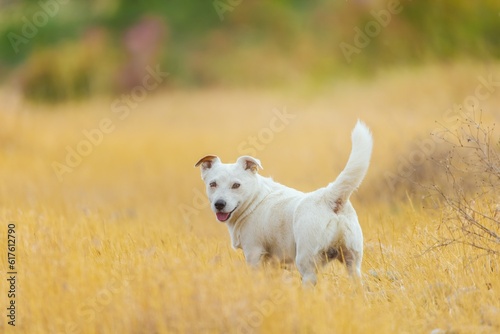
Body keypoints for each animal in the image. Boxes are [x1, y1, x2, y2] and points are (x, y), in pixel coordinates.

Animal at [194, 121, 372, 284]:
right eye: (212, 184)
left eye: (236, 185)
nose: (219, 204)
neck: (254, 199)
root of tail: (328, 197)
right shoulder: (272, 262)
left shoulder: (253, 253)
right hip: (352, 262)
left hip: (306, 263)